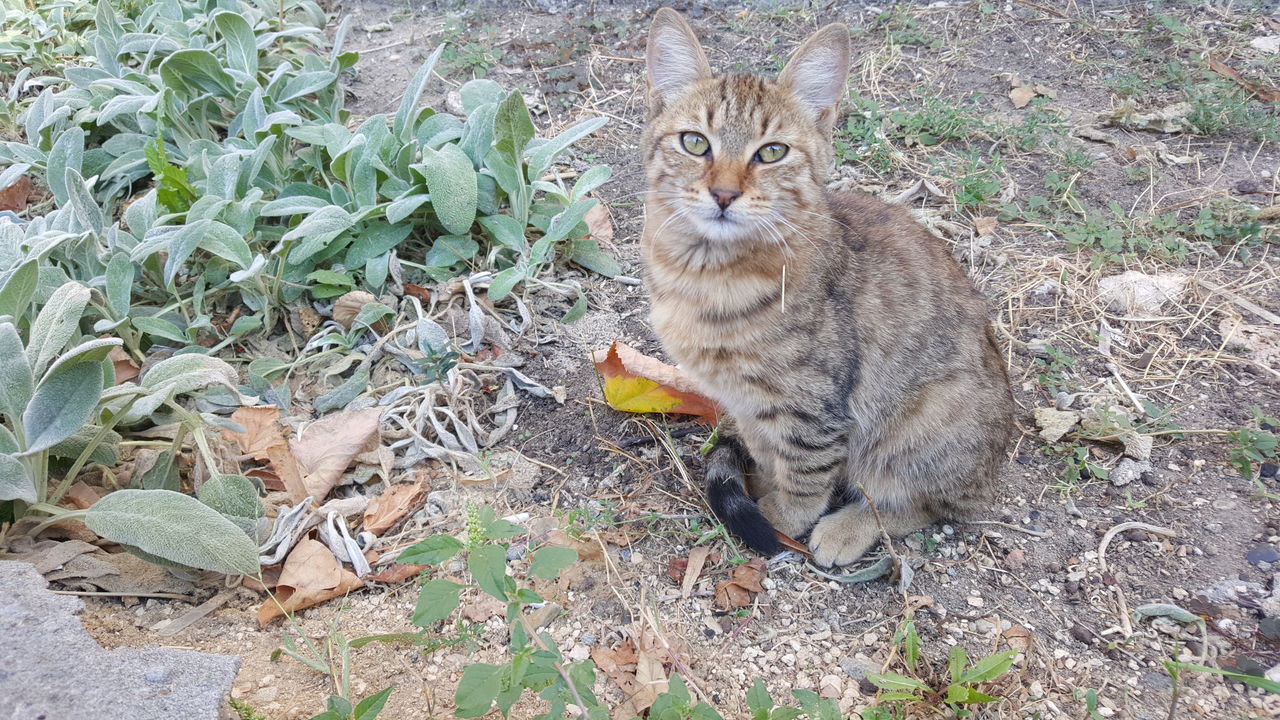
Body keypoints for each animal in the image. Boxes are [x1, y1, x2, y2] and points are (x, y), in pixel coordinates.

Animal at [637, 7, 1008, 566]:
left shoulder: (813, 405)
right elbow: (767, 450)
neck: (705, 274)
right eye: (695, 142)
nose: (723, 193)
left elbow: (805, 471)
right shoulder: (745, 401)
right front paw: (760, 482)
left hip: (930, 420)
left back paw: (849, 527)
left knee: (927, 502)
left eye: (771, 152)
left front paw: (782, 517)